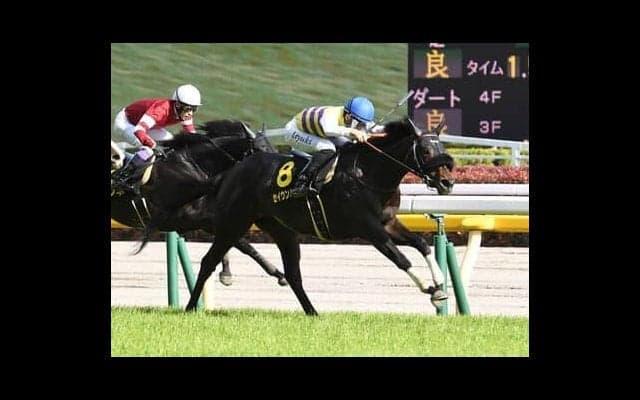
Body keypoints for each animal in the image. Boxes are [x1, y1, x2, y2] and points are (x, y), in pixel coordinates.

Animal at [110, 120, 288, 286]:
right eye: (261, 150)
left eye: (273, 149)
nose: (277, 176)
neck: (194, 168)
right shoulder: (197, 220)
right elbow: (244, 245)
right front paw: (279, 274)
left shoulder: (209, 219)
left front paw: (227, 273)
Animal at [144, 117, 454, 315]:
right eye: (426, 150)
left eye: (442, 148)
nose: (447, 182)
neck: (369, 173)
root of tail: (232, 170)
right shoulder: (369, 229)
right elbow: (401, 259)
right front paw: (432, 290)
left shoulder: (388, 223)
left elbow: (422, 245)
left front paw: (440, 284)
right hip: (234, 223)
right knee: (209, 261)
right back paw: (189, 307)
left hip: (282, 229)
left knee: (293, 274)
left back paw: (312, 311)